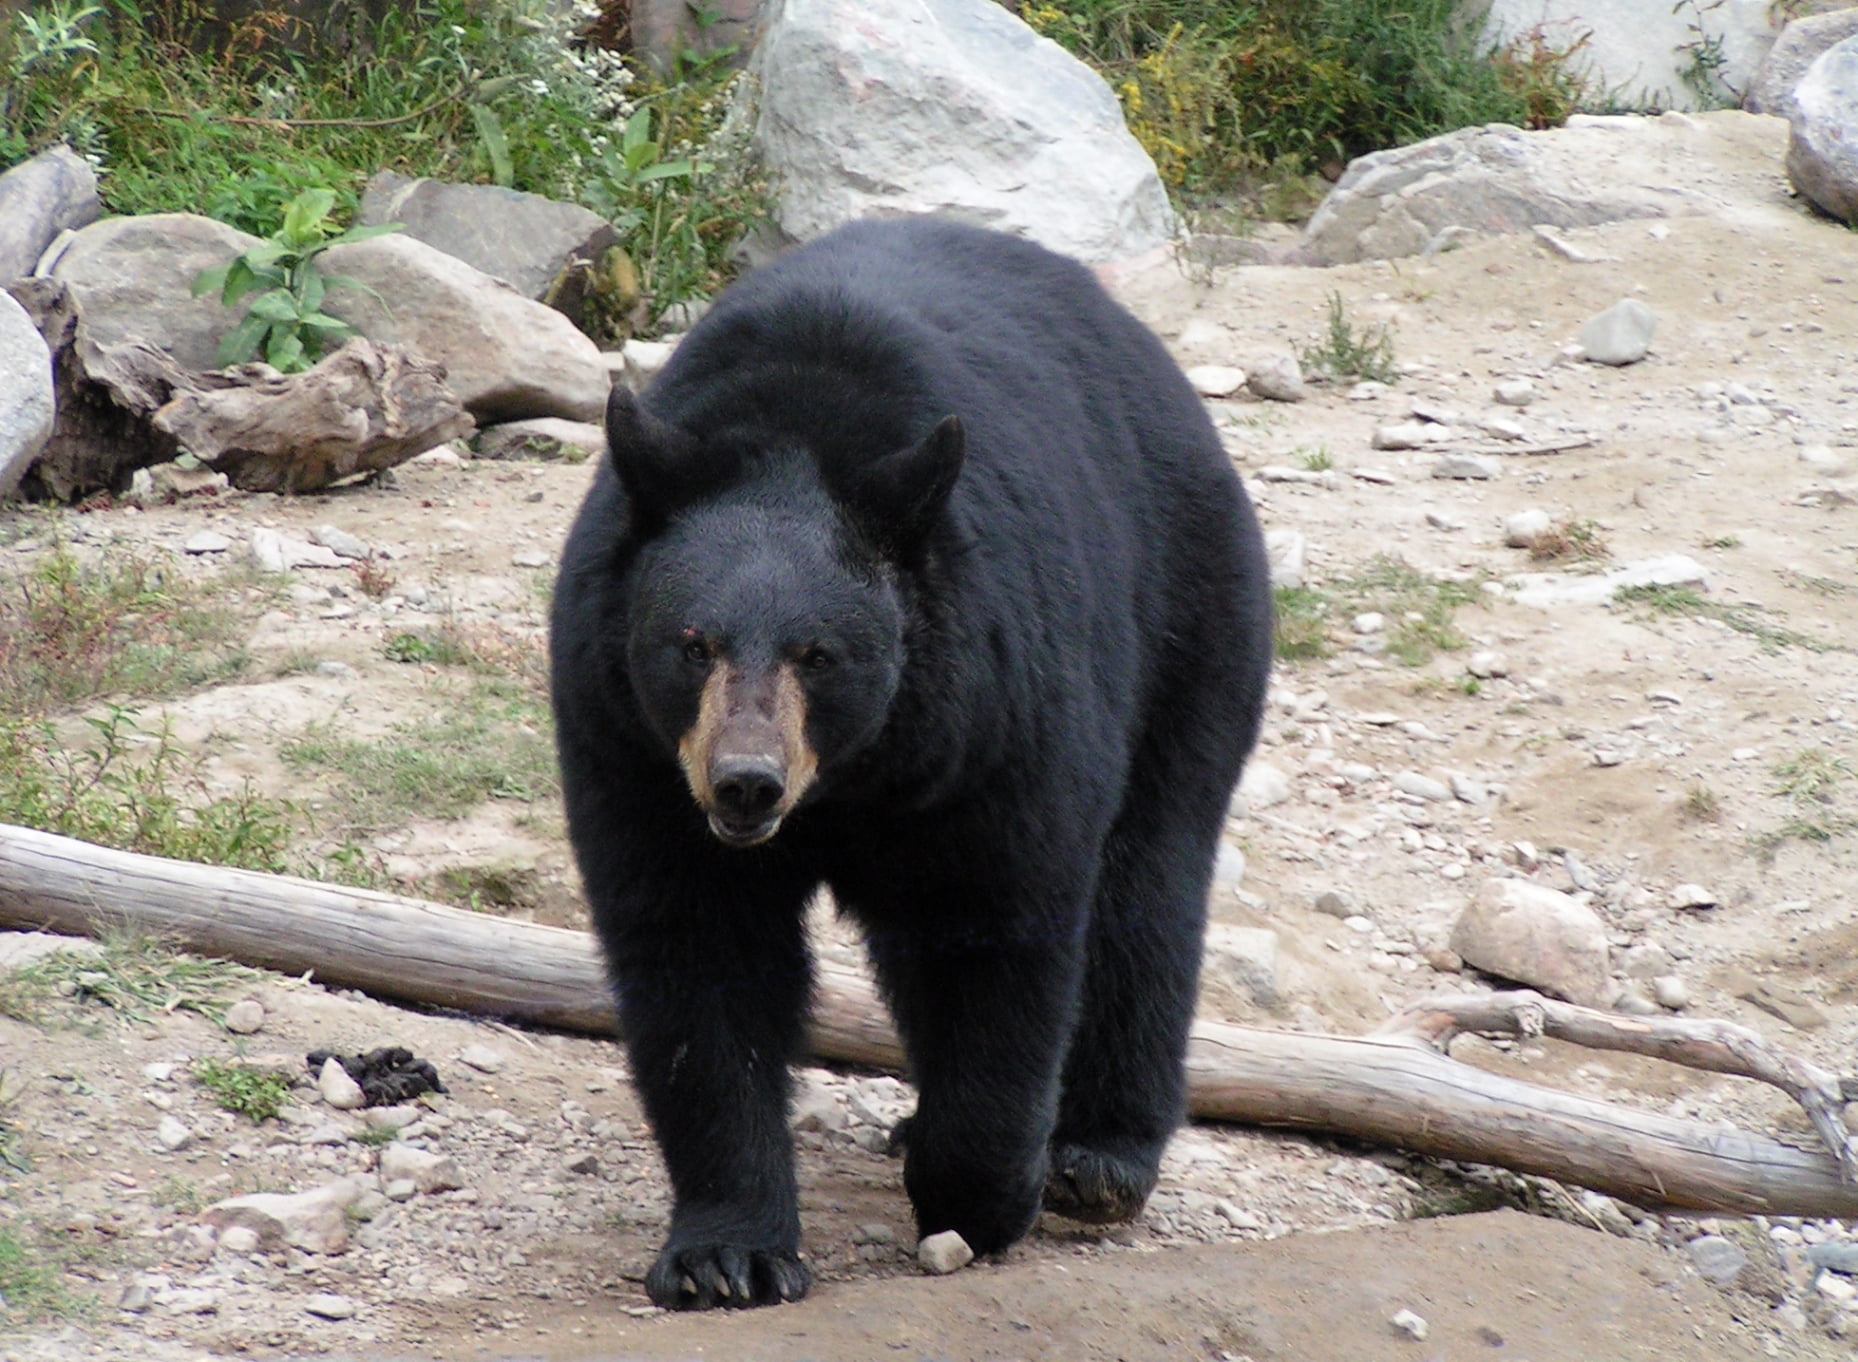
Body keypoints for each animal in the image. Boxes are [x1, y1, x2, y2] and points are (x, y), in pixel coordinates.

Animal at [549, 217, 1273, 1311]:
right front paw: (727, 1252)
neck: (854, 776)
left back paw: (1099, 1154)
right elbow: (696, 954)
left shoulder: (994, 724)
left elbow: (998, 934)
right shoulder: (630, 747)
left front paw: (981, 1194)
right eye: (691, 643)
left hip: (1190, 614)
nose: (746, 782)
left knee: (1148, 882)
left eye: (819, 654)